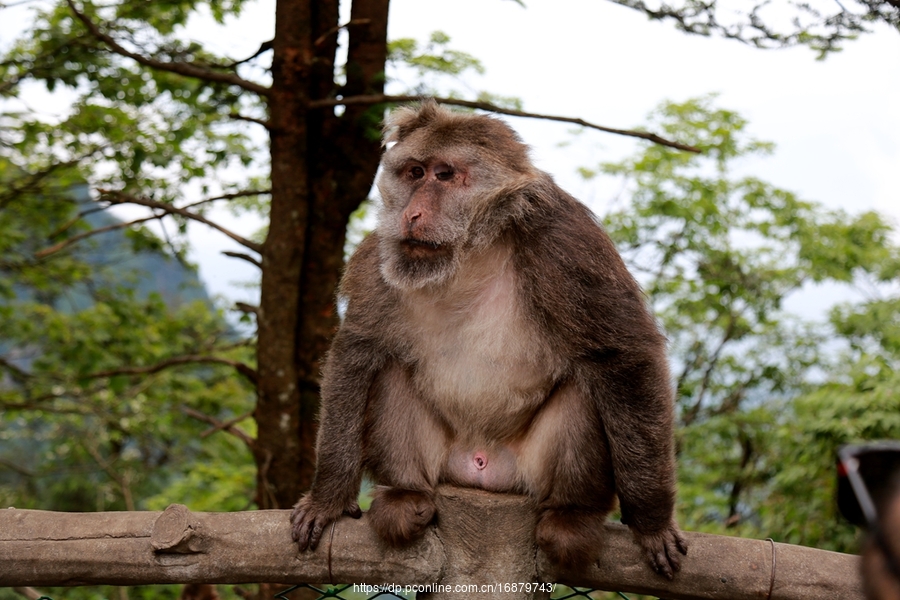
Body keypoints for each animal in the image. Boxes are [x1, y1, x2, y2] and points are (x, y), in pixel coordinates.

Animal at [290, 101, 688, 580]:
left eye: (444, 175)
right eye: (414, 172)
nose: (412, 214)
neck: (472, 249)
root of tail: (480, 469)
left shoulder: (565, 238)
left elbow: (623, 353)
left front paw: (652, 523)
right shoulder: (382, 255)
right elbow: (358, 350)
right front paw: (328, 498)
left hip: (528, 471)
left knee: (586, 386)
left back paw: (571, 516)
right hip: (444, 461)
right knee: (388, 373)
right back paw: (406, 496)